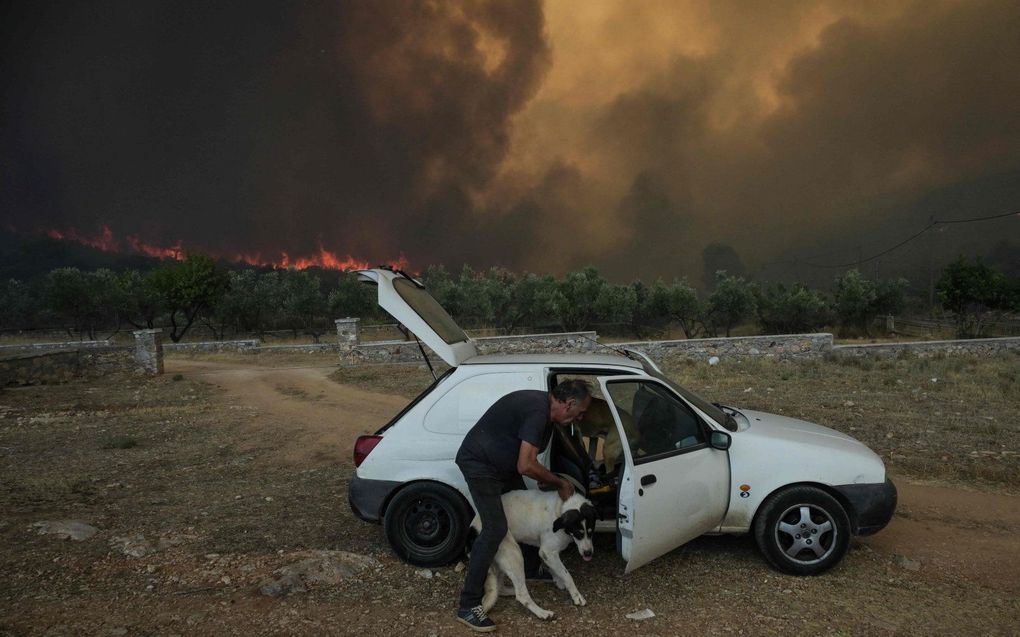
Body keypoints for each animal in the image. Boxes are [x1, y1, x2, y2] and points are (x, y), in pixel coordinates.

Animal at [467, 489, 595, 619]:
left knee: (502, 588)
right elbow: (567, 575)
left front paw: (557, 579)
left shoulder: (548, 554)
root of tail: (473, 530)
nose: (588, 553)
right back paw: (542, 613)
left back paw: (512, 590)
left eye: (591, 532)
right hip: (514, 554)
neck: (559, 509)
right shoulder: (547, 551)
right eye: (578, 533)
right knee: (521, 595)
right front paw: (576, 595)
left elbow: (556, 569)